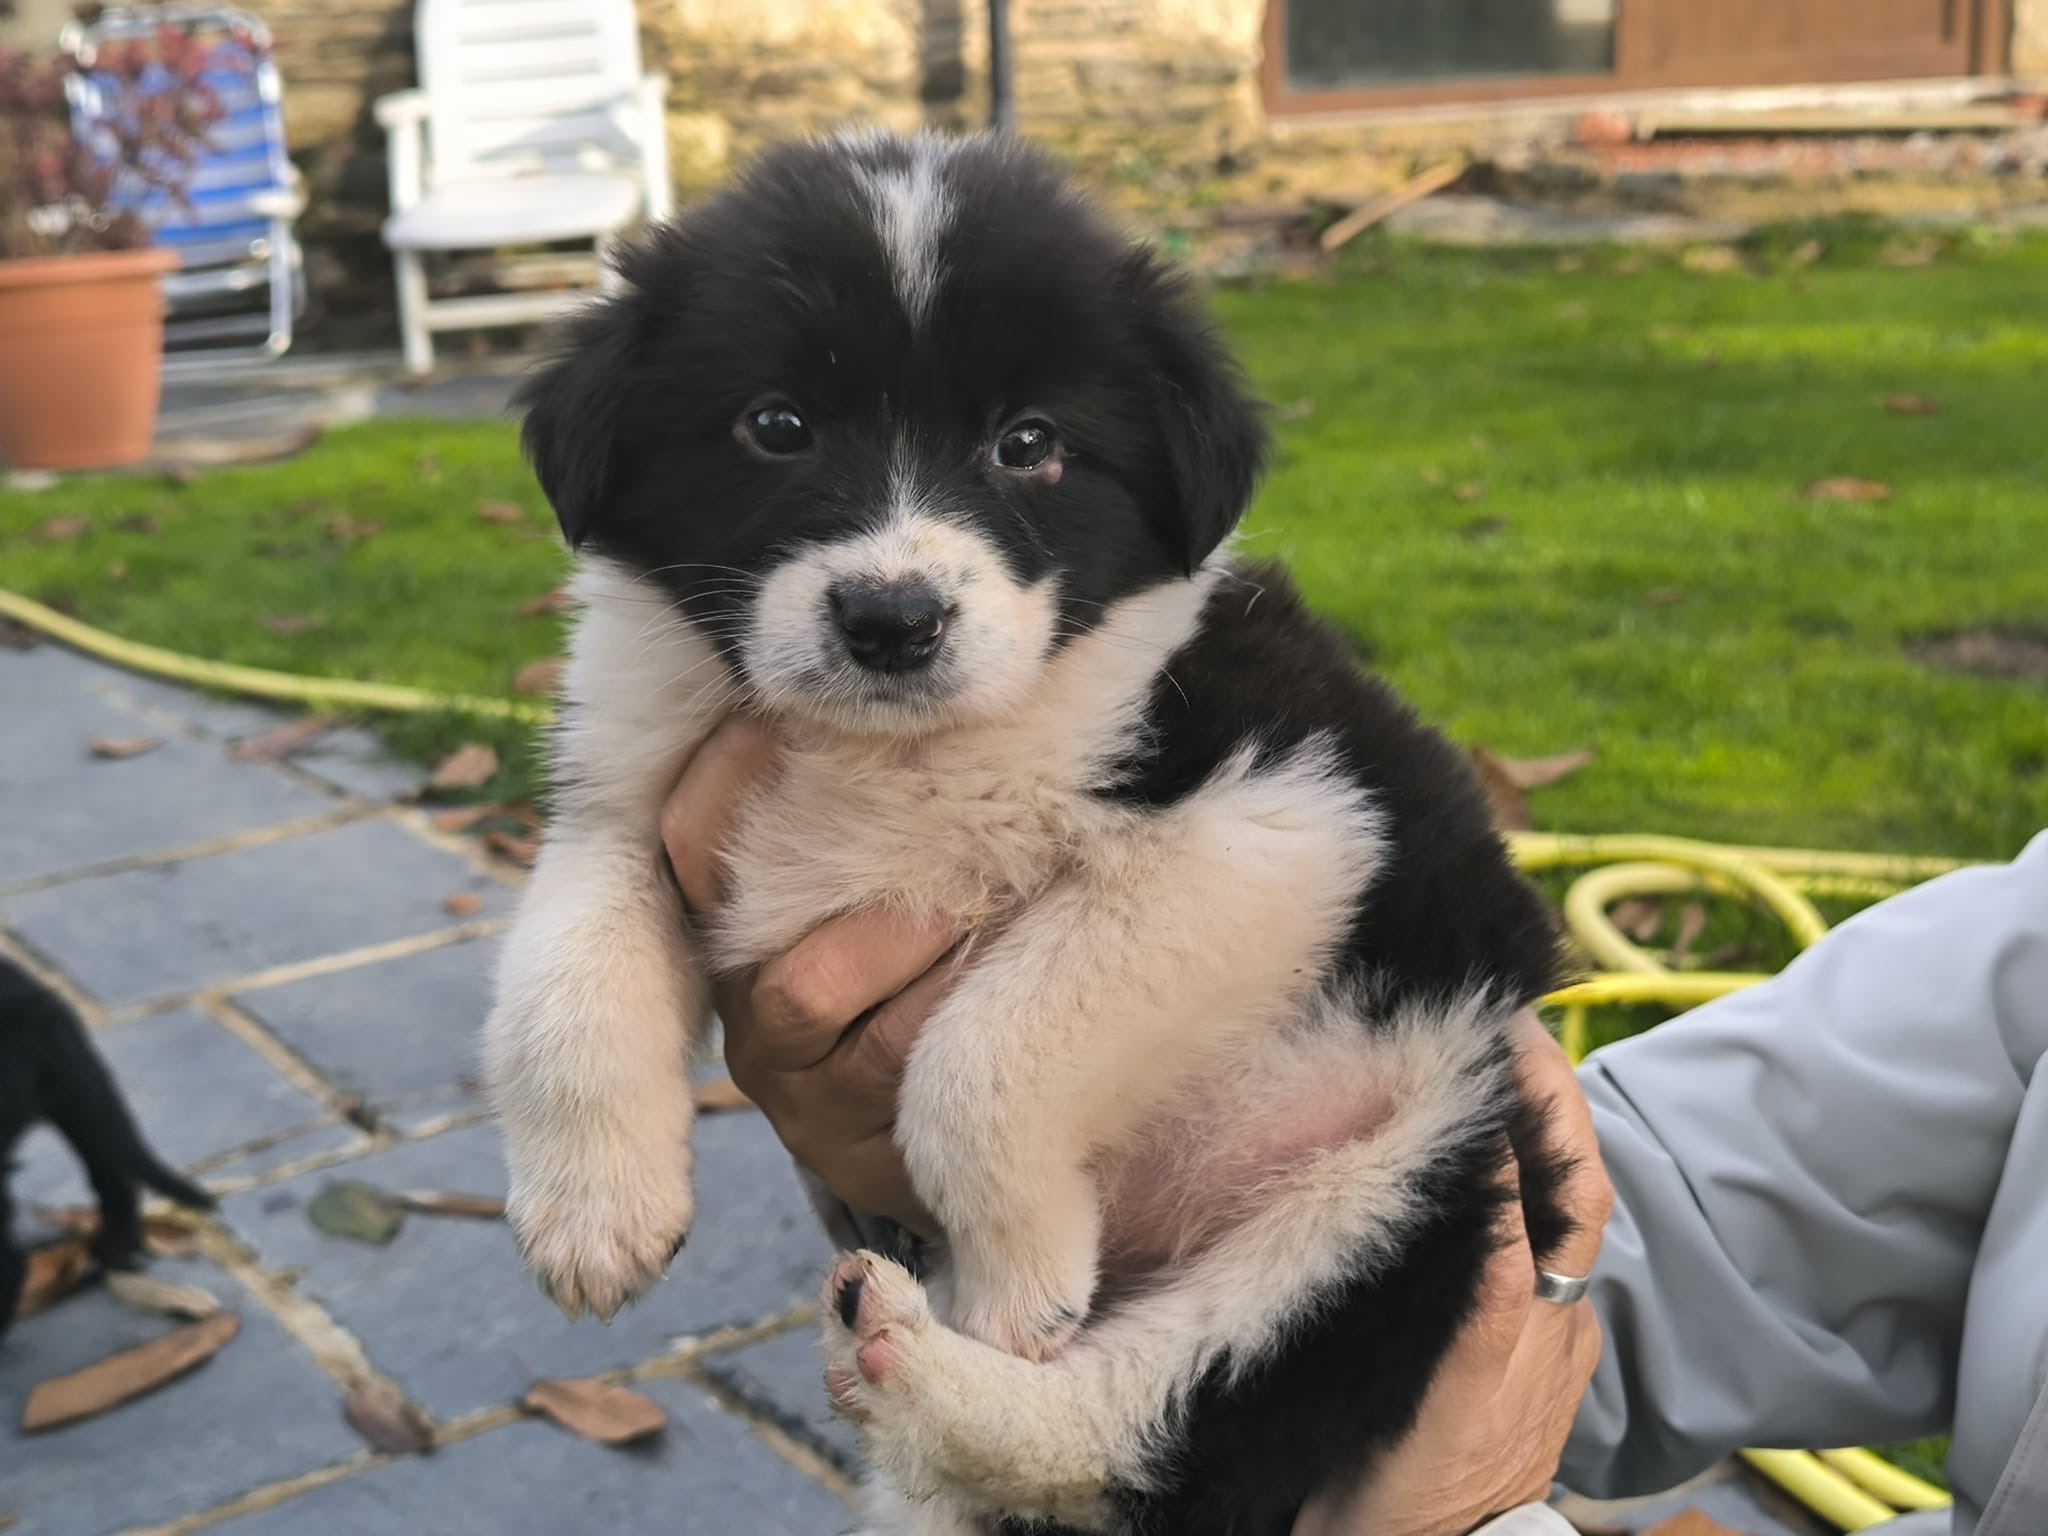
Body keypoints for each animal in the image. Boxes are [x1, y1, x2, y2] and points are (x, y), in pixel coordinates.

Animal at [483, 130, 1569, 1535]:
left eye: (1029, 443)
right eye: (774, 426)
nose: (890, 621)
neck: (893, 750)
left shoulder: (1287, 824)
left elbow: (983, 1054)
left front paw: (1016, 1274)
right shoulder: (631, 811)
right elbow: (557, 984)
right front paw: (592, 1213)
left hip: (1402, 1180)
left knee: (1159, 1427)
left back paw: (930, 1364)